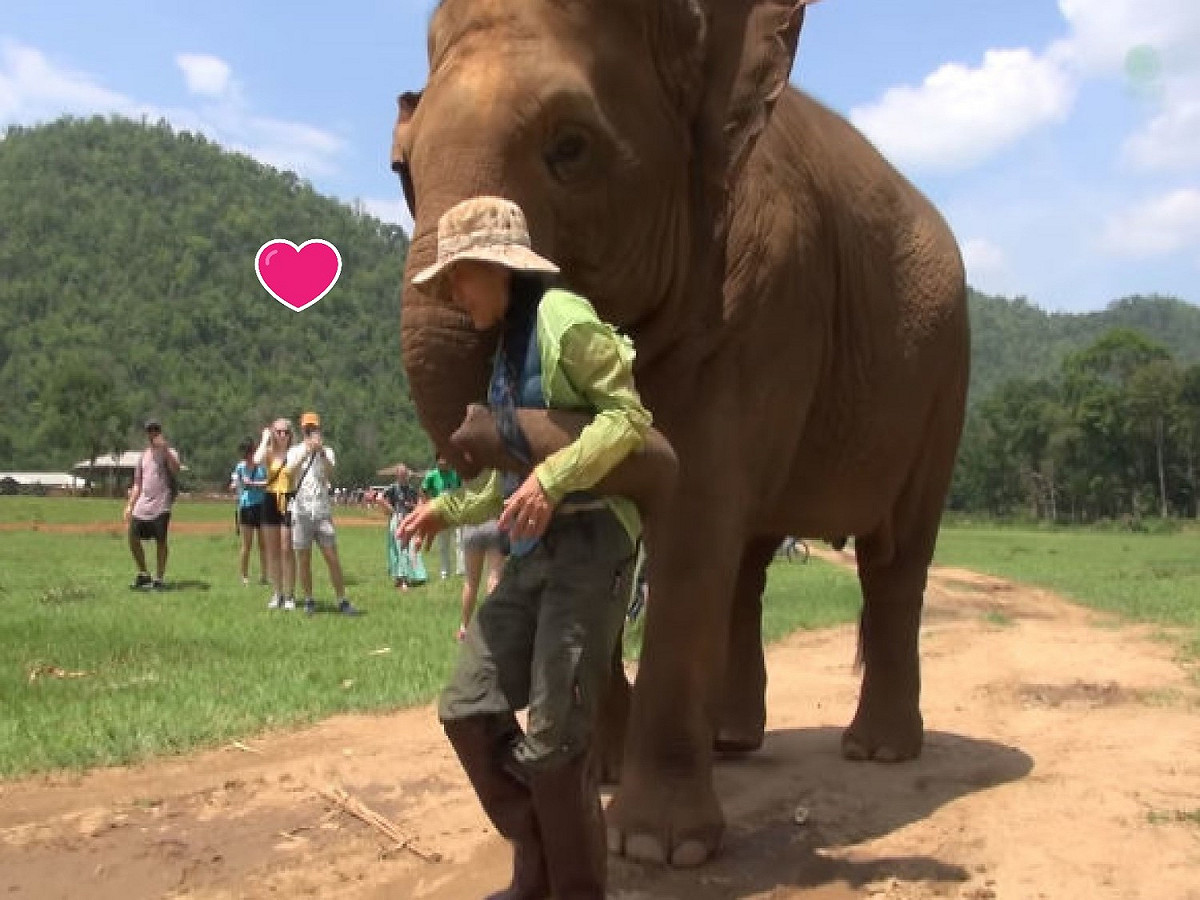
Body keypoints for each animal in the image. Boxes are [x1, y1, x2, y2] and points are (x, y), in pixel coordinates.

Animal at [391, 0, 969, 870]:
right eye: (401, 172)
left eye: (570, 148)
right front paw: (596, 775)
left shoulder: (772, 293)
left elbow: (692, 511)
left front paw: (659, 847)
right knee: (751, 559)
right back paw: (730, 741)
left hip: (942, 382)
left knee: (894, 557)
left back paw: (877, 751)